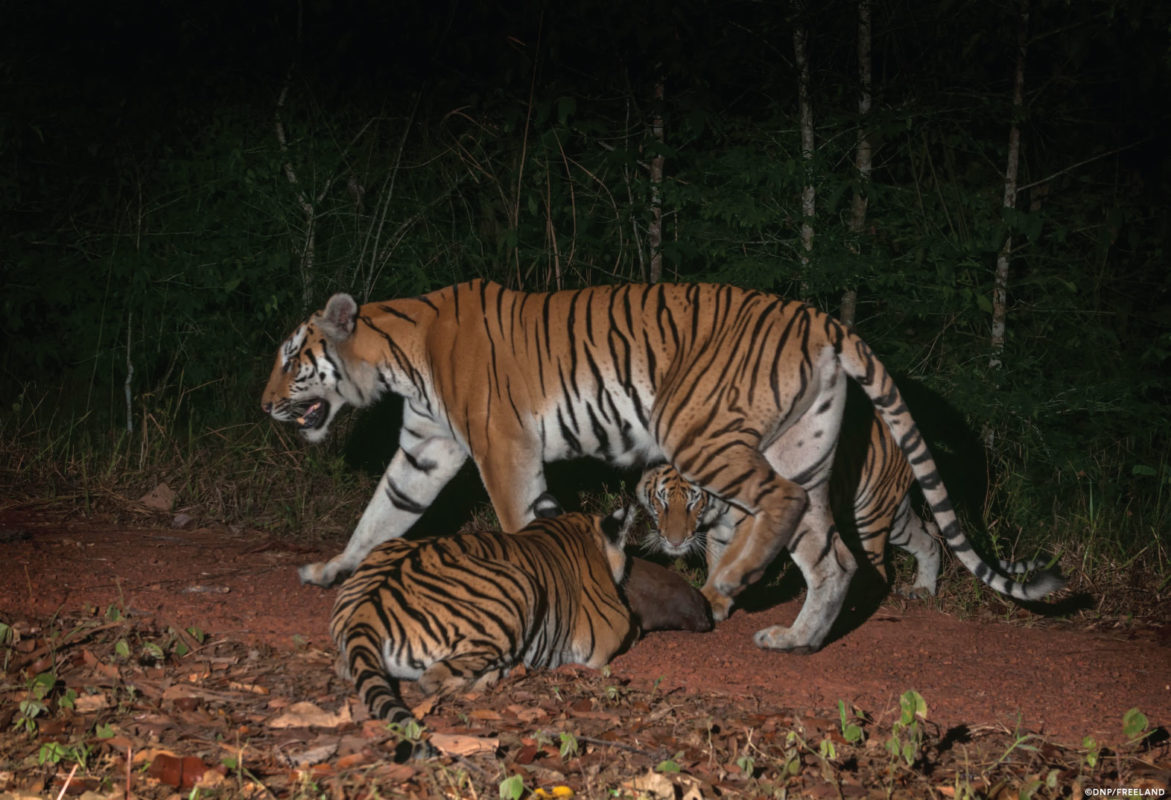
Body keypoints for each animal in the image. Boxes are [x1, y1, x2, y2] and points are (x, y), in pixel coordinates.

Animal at [263, 279, 1063, 651]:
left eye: (292, 360)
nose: (265, 404)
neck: (396, 357)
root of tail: (822, 317)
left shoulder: (500, 447)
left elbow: (520, 522)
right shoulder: (427, 448)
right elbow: (381, 513)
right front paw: (330, 570)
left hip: (701, 429)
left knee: (780, 507)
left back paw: (727, 581)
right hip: (802, 448)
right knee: (830, 553)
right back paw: (795, 637)